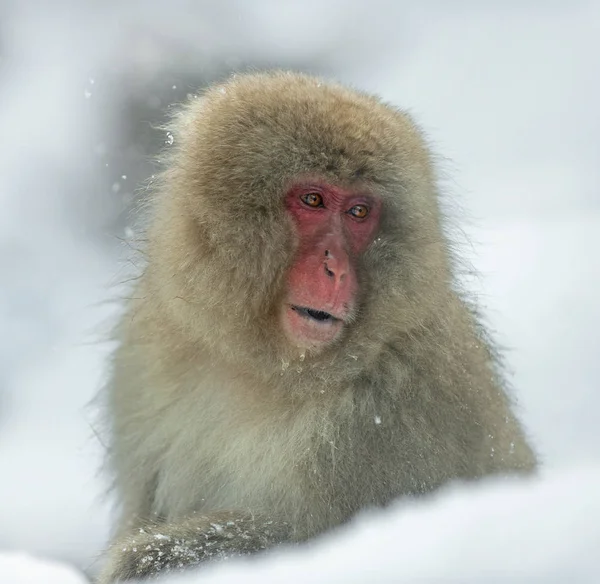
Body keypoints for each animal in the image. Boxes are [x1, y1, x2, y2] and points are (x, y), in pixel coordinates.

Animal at [96, 70, 536, 580]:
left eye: (359, 212)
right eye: (313, 199)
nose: (336, 270)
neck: (268, 371)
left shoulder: (394, 410)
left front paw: (149, 559)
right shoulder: (145, 359)